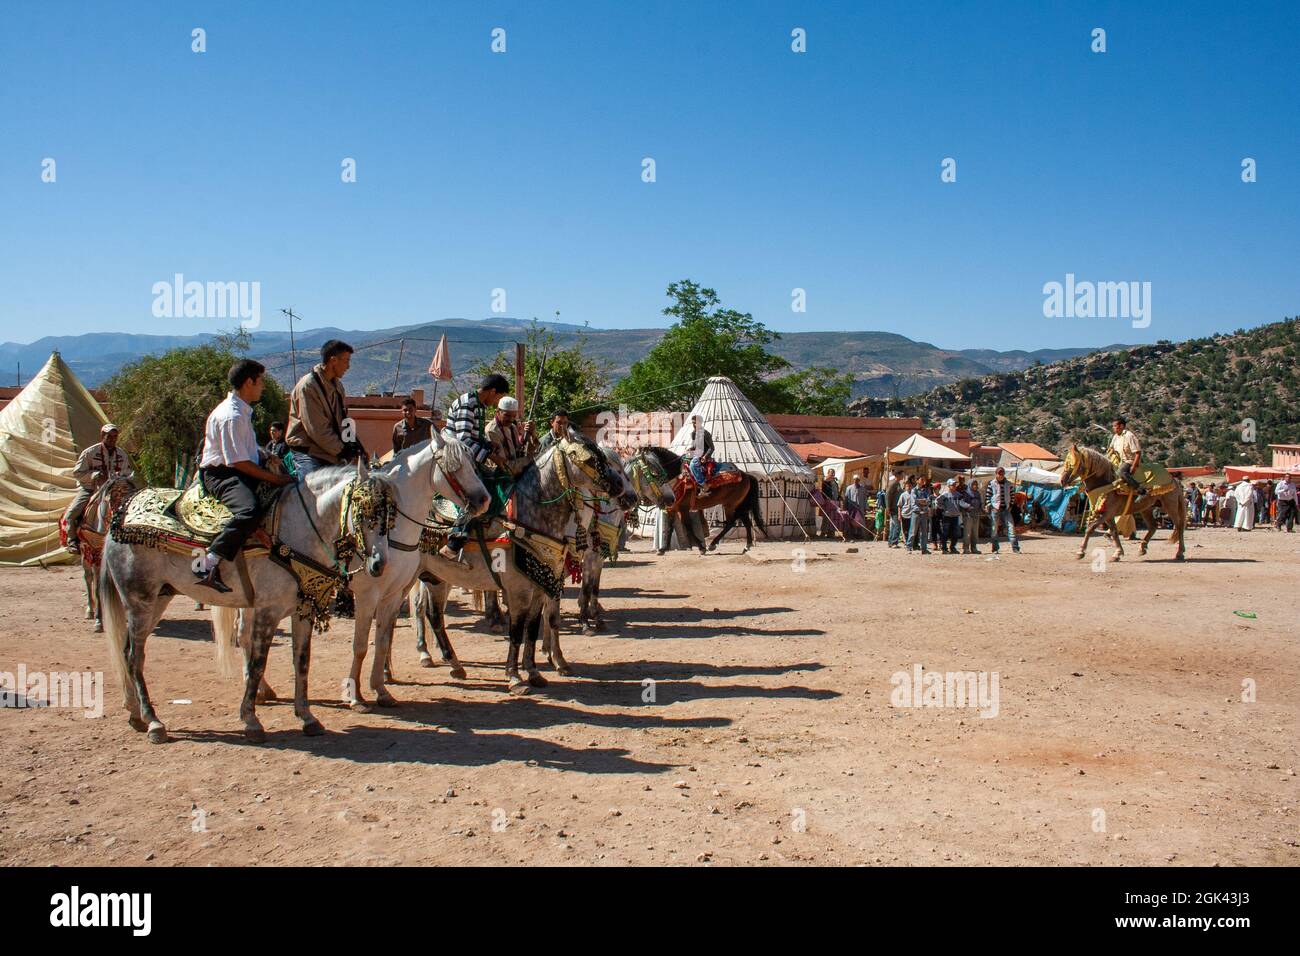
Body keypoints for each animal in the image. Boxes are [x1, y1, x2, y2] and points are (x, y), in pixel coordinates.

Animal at [64, 476, 135, 629]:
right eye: (111, 499)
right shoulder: (95, 555)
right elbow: (97, 587)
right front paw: (98, 620)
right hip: (85, 555)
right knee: (88, 578)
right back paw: (90, 610)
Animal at [101, 460, 390, 743]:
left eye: (389, 517)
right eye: (364, 512)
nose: (379, 564)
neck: (296, 531)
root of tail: (121, 514)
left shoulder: (303, 609)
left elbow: (302, 661)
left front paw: (307, 717)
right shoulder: (267, 611)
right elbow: (258, 663)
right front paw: (251, 720)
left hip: (158, 599)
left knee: (127, 652)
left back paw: (135, 714)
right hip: (139, 601)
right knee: (135, 656)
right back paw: (153, 721)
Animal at [400, 434, 634, 697]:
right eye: (590, 460)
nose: (625, 492)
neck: (529, 517)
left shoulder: (543, 583)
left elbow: (535, 626)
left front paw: (535, 670)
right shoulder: (520, 589)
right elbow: (518, 630)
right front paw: (516, 676)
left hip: (438, 577)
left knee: (433, 614)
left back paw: (453, 664)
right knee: (417, 610)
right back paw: (417, 660)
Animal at [624, 447, 764, 554]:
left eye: (654, 472)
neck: (677, 478)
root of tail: (747, 475)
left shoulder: (683, 508)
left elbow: (687, 526)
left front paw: (702, 548)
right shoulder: (672, 507)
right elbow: (669, 526)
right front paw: (663, 549)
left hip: (731, 504)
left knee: (731, 522)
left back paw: (713, 544)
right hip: (738, 504)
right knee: (746, 522)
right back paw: (747, 546)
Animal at [1055, 447, 1190, 561]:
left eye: (1072, 463)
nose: (1062, 480)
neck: (1105, 482)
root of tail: (1173, 479)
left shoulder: (1107, 513)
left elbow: (1090, 528)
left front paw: (1081, 552)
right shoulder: (1107, 515)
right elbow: (1114, 532)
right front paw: (1118, 553)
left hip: (1170, 506)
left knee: (1179, 526)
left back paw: (1180, 553)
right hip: (1146, 508)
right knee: (1153, 526)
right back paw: (1142, 548)